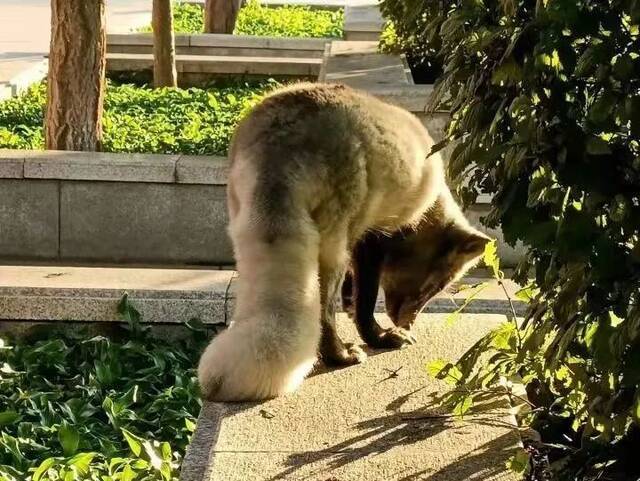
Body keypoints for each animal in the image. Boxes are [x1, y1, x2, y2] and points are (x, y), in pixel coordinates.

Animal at [198, 82, 488, 402]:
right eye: (433, 288)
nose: (408, 325)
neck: (427, 207)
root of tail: (281, 141)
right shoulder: (374, 236)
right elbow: (366, 301)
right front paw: (380, 336)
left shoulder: (360, 239)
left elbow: (355, 291)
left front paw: (351, 304)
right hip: (332, 245)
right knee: (324, 312)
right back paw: (341, 356)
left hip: (241, 220)